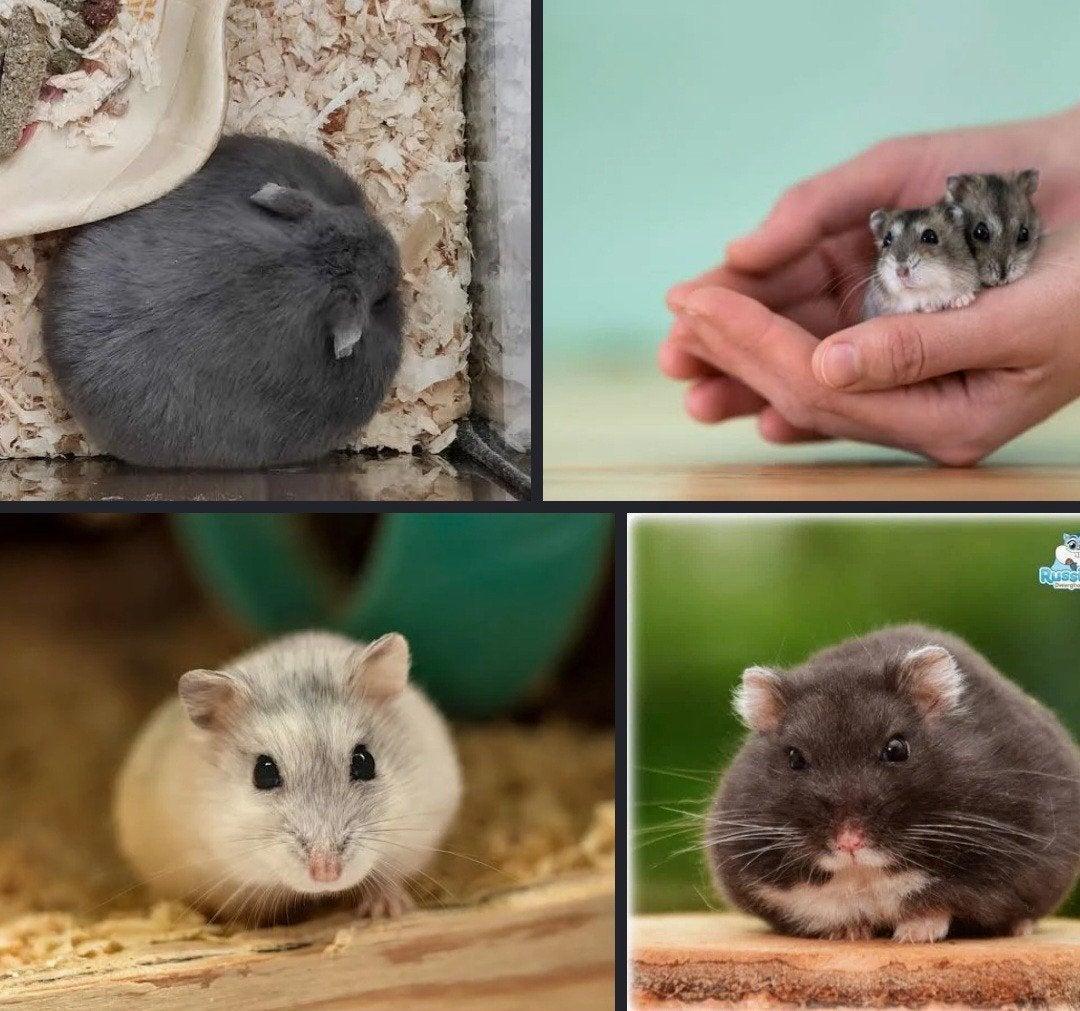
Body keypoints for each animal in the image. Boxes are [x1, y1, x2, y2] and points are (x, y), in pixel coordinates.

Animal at [707, 625, 1080, 942]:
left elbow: (938, 904)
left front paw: (914, 934)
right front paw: (847, 934)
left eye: (897, 749)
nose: (849, 842)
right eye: (794, 758)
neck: (862, 873)